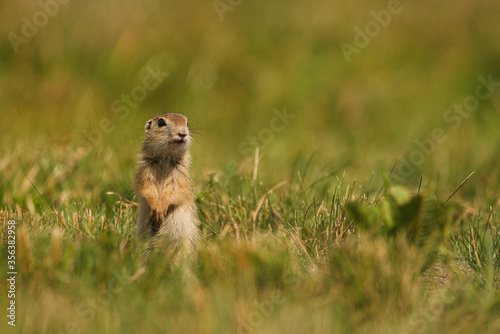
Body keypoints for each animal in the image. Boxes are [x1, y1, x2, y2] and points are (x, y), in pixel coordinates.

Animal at [137, 113, 201, 260]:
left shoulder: (180, 175)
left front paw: (160, 208)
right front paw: (155, 207)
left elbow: (176, 190)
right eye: (161, 122)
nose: (183, 133)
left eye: (187, 123)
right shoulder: (145, 170)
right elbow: (146, 187)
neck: (165, 157)